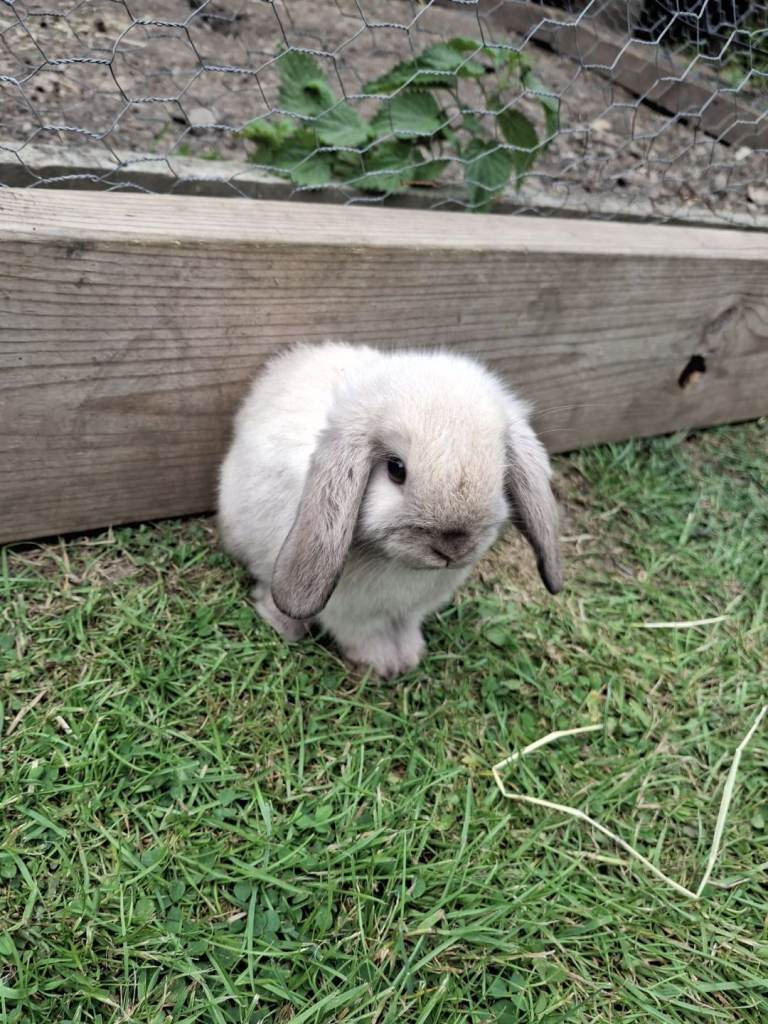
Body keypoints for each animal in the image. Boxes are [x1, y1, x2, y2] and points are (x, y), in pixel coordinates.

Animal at [218, 341, 562, 679]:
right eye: (396, 469)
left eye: (501, 470)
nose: (452, 549)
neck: (400, 568)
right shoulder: (349, 614)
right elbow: (363, 636)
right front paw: (384, 665)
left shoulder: (411, 610)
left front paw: (410, 655)